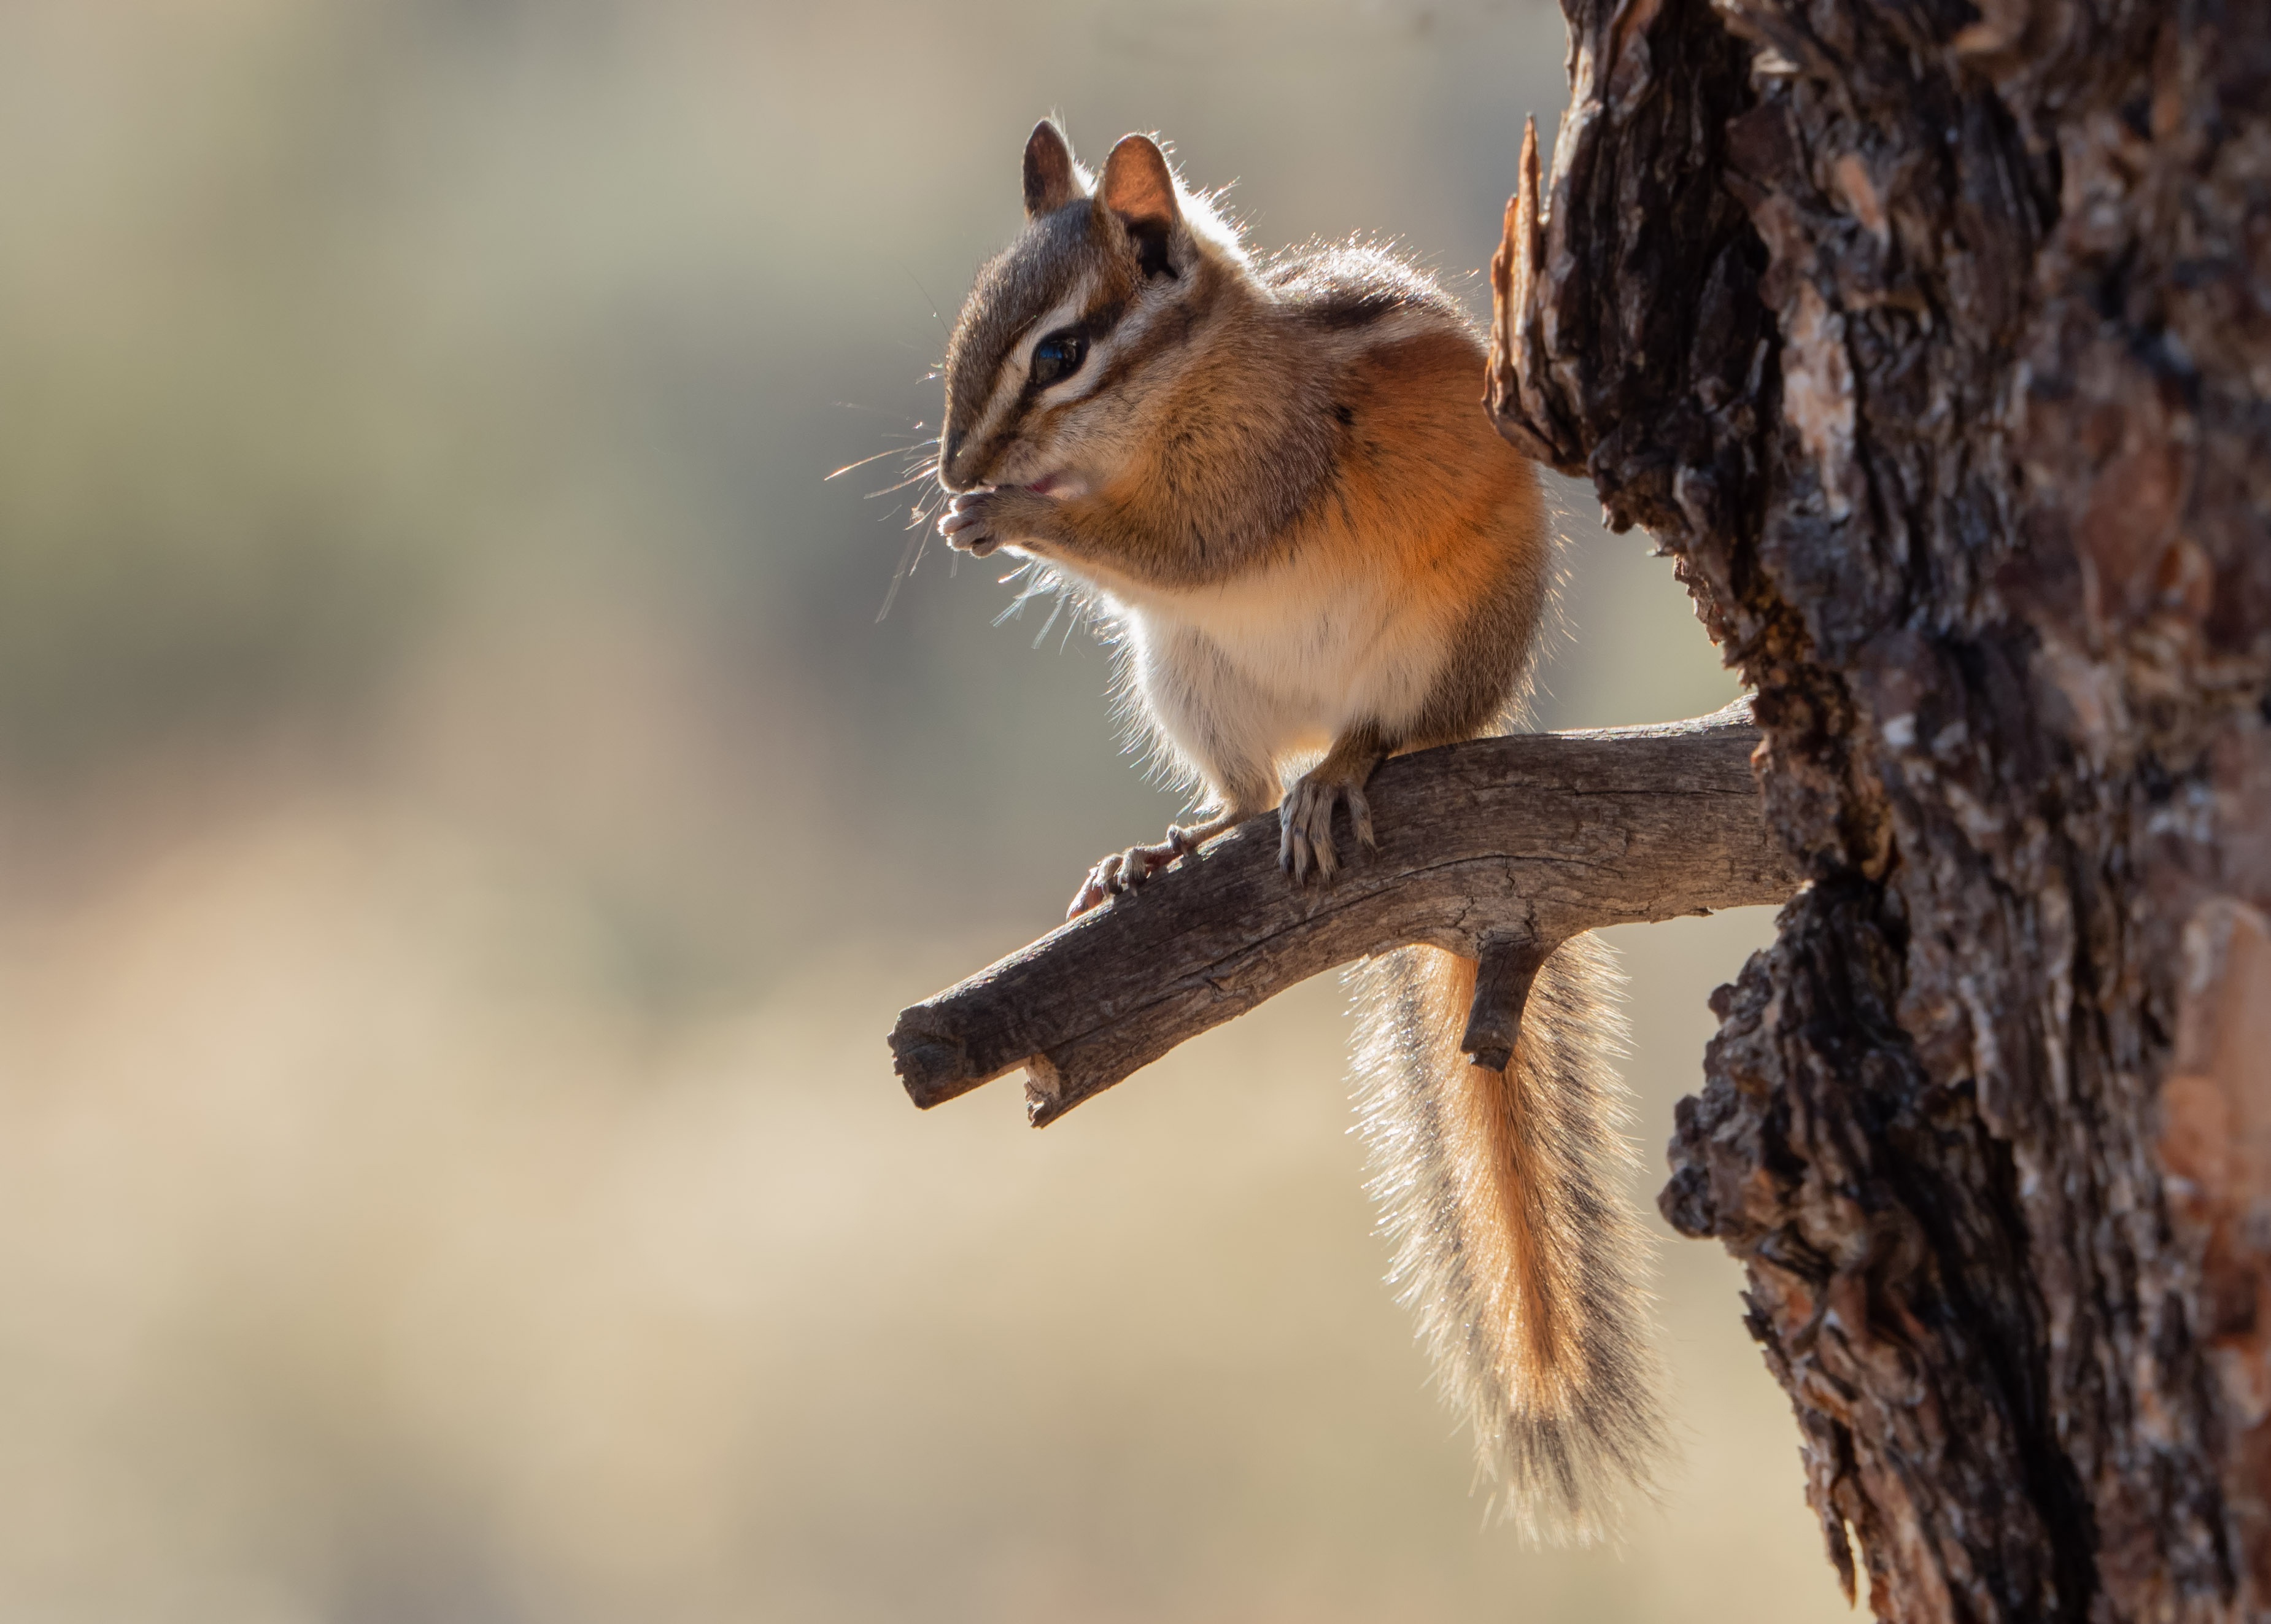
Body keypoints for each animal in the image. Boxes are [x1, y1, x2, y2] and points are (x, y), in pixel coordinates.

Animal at [932, 119, 1666, 1541]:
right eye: (969, 325)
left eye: (1059, 351)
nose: (951, 471)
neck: (1192, 380)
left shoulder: (1242, 491)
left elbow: (1178, 547)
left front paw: (1014, 516)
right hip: (1189, 679)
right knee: (1239, 798)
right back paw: (1158, 851)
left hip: (1423, 652)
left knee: (1364, 741)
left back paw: (1345, 770)